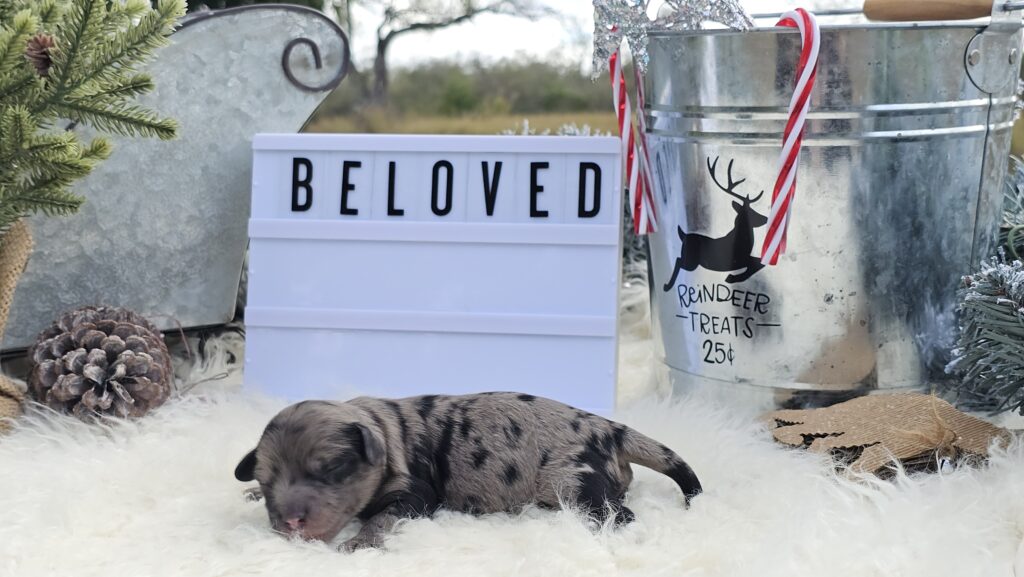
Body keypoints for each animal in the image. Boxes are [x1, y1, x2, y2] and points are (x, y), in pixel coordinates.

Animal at [233, 393, 700, 549]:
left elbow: (382, 516)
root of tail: (612, 430)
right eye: (266, 478)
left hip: (573, 479)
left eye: (330, 469)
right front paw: (250, 495)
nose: (290, 523)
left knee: (618, 512)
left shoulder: (415, 492)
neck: (383, 428)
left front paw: (360, 543)